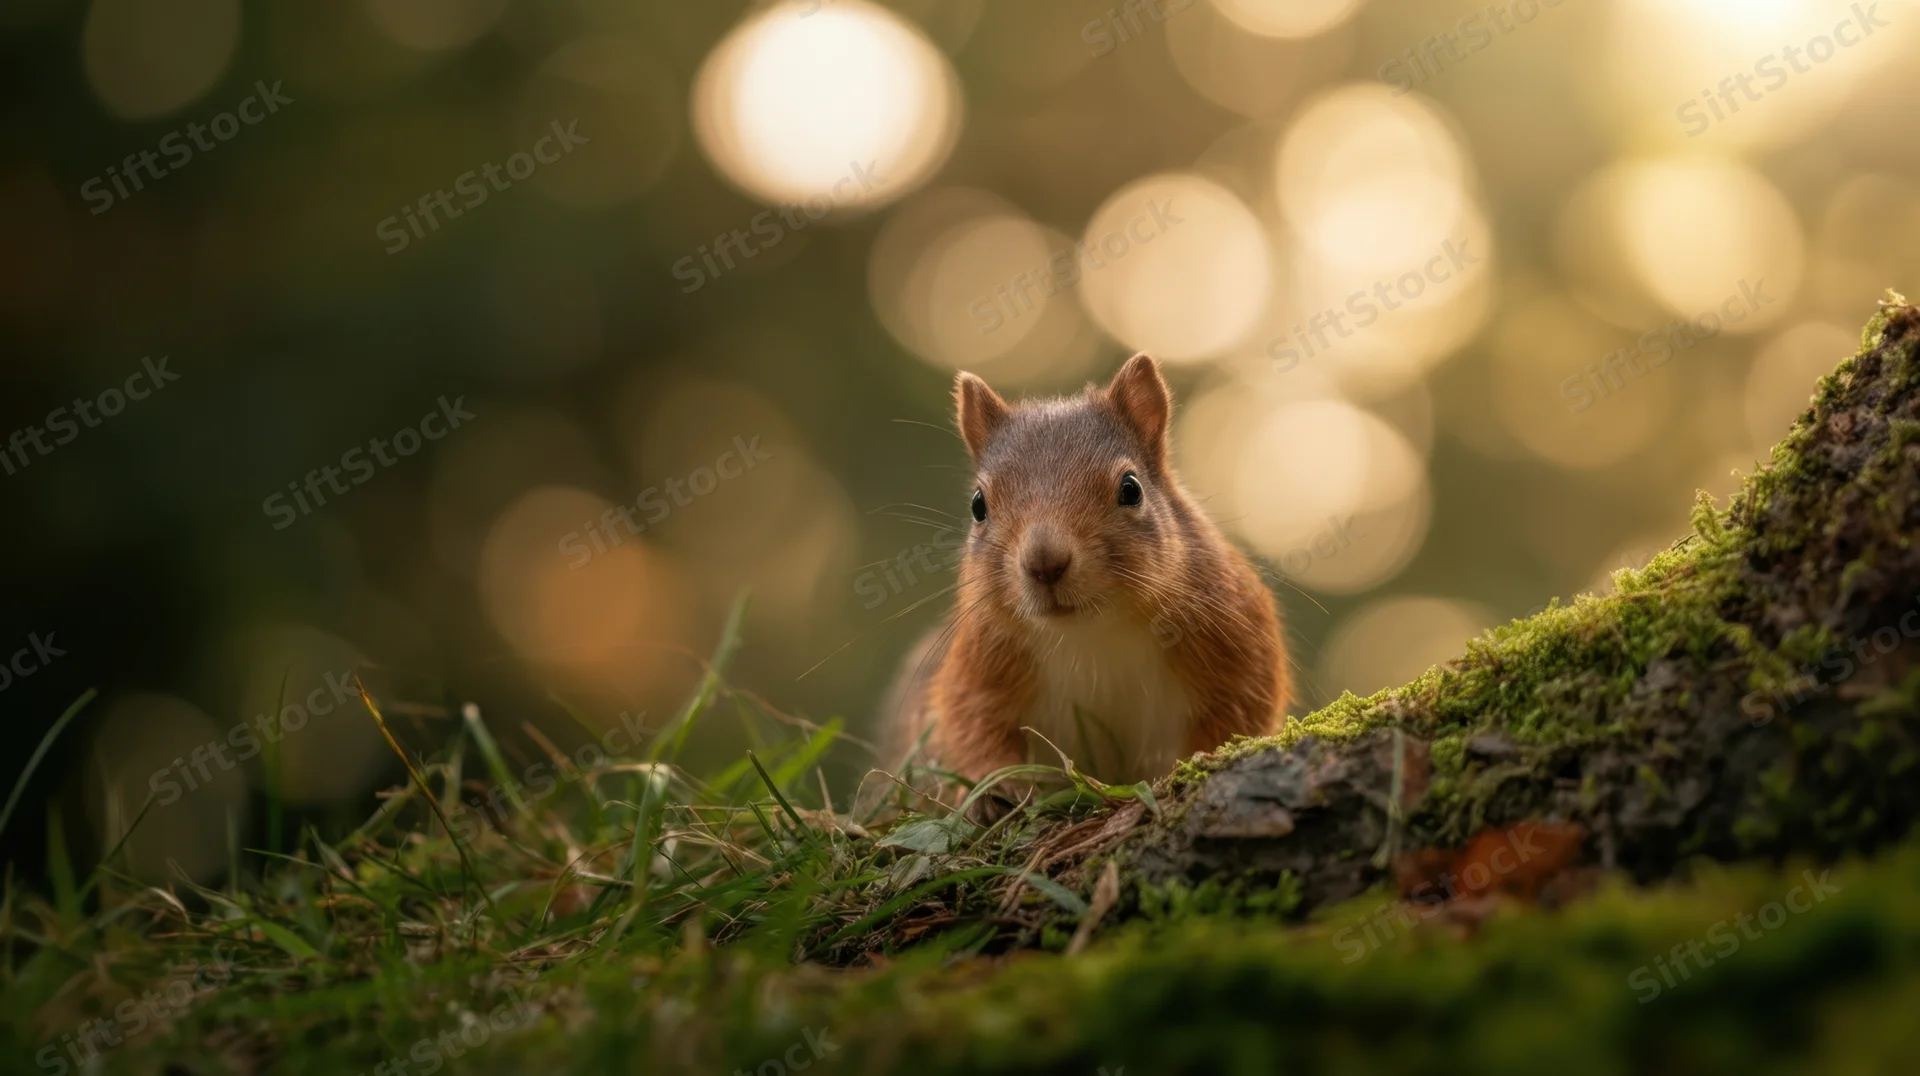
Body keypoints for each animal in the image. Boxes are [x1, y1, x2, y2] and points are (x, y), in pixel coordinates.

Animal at [884, 353, 1290, 807]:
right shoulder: (982, 659)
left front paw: (1202, 759)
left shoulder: (1232, 637)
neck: (1091, 633)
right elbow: (970, 723)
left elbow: (1240, 710)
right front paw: (994, 788)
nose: (1045, 562)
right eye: (978, 505)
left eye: (1131, 489)